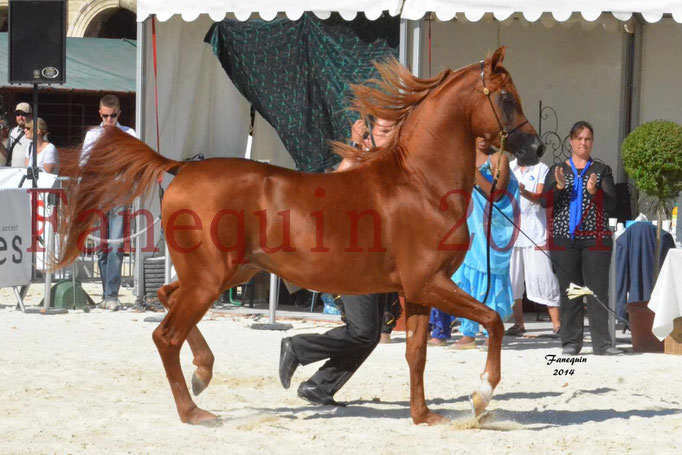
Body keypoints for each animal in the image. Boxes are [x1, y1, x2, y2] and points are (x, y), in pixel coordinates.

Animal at [55, 47, 540, 428]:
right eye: (506, 98)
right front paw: (481, 395)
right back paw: (194, 411)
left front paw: (424, 416)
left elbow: (416, 354)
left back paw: (203, 373)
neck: (420, 182)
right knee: (166, 335)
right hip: (210, 279)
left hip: (225, 273)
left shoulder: (417, 291)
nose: (535, 149)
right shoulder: (429, 283)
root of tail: (181, 168)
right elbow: (494, 321)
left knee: (166, 296)